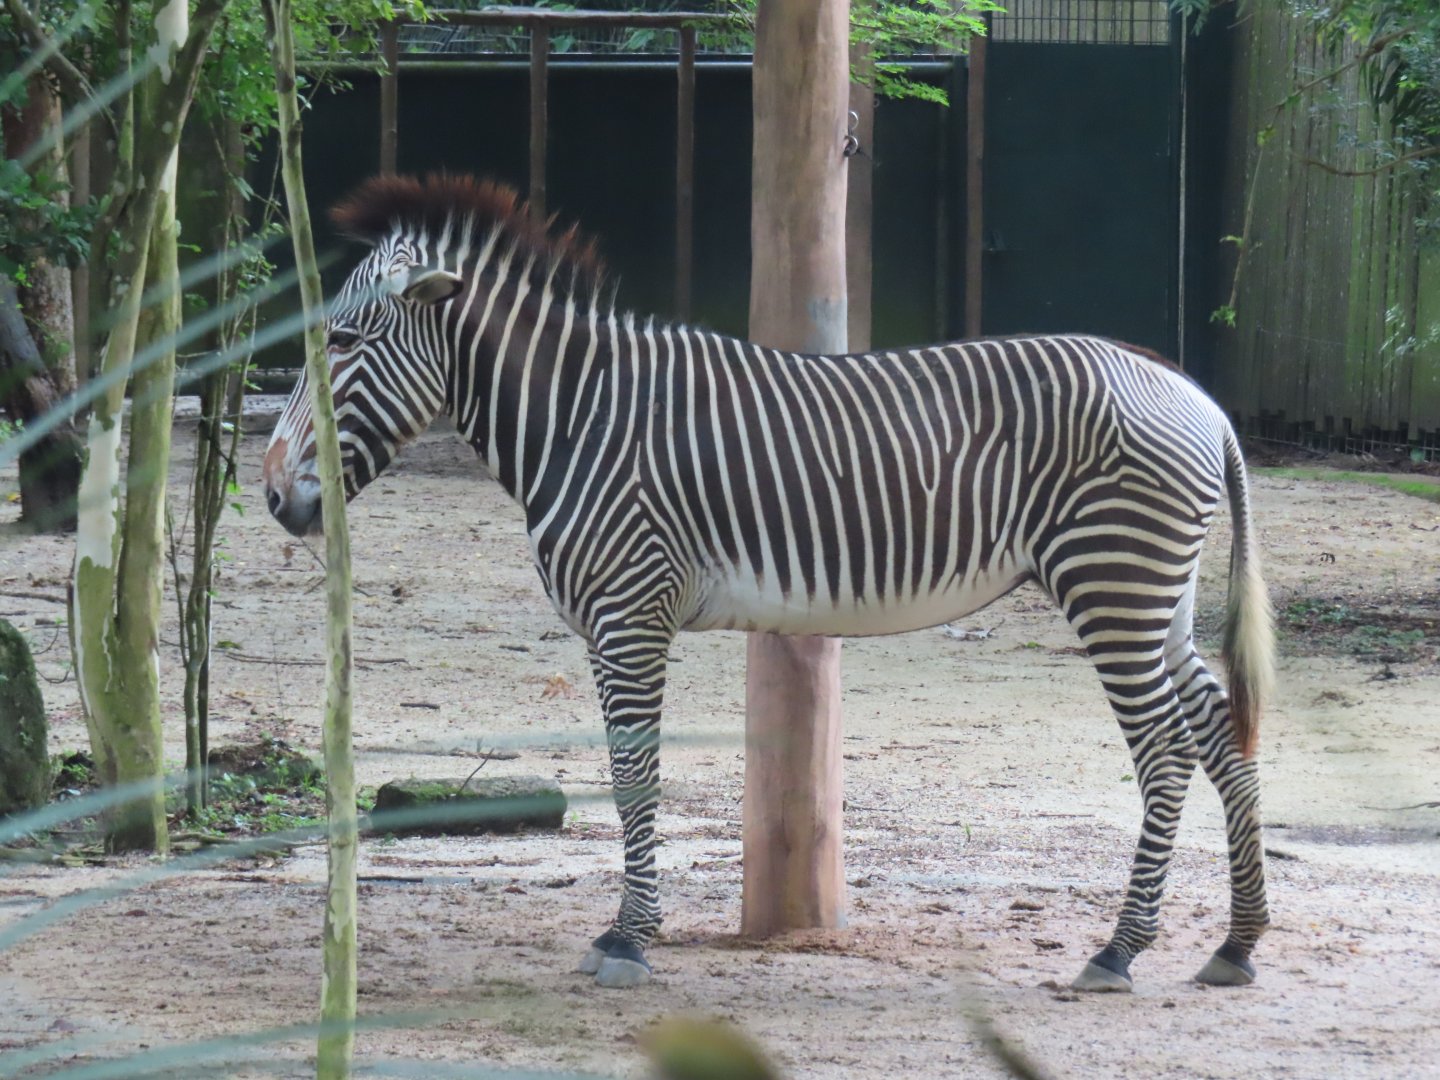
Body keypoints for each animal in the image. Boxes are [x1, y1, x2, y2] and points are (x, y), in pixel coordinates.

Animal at [263, 173, 1274, 993]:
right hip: (1159, 594)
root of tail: (1199, 398)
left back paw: (1120, 950)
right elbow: (630, 772)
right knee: (1221, 733)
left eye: (341, 339)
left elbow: (634, 774)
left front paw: (629, 940)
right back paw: (1236, 944)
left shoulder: (628, 613)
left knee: (1166, 752)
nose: (274, 496)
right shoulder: (613, 621)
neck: (578, 417)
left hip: (1113, 581)